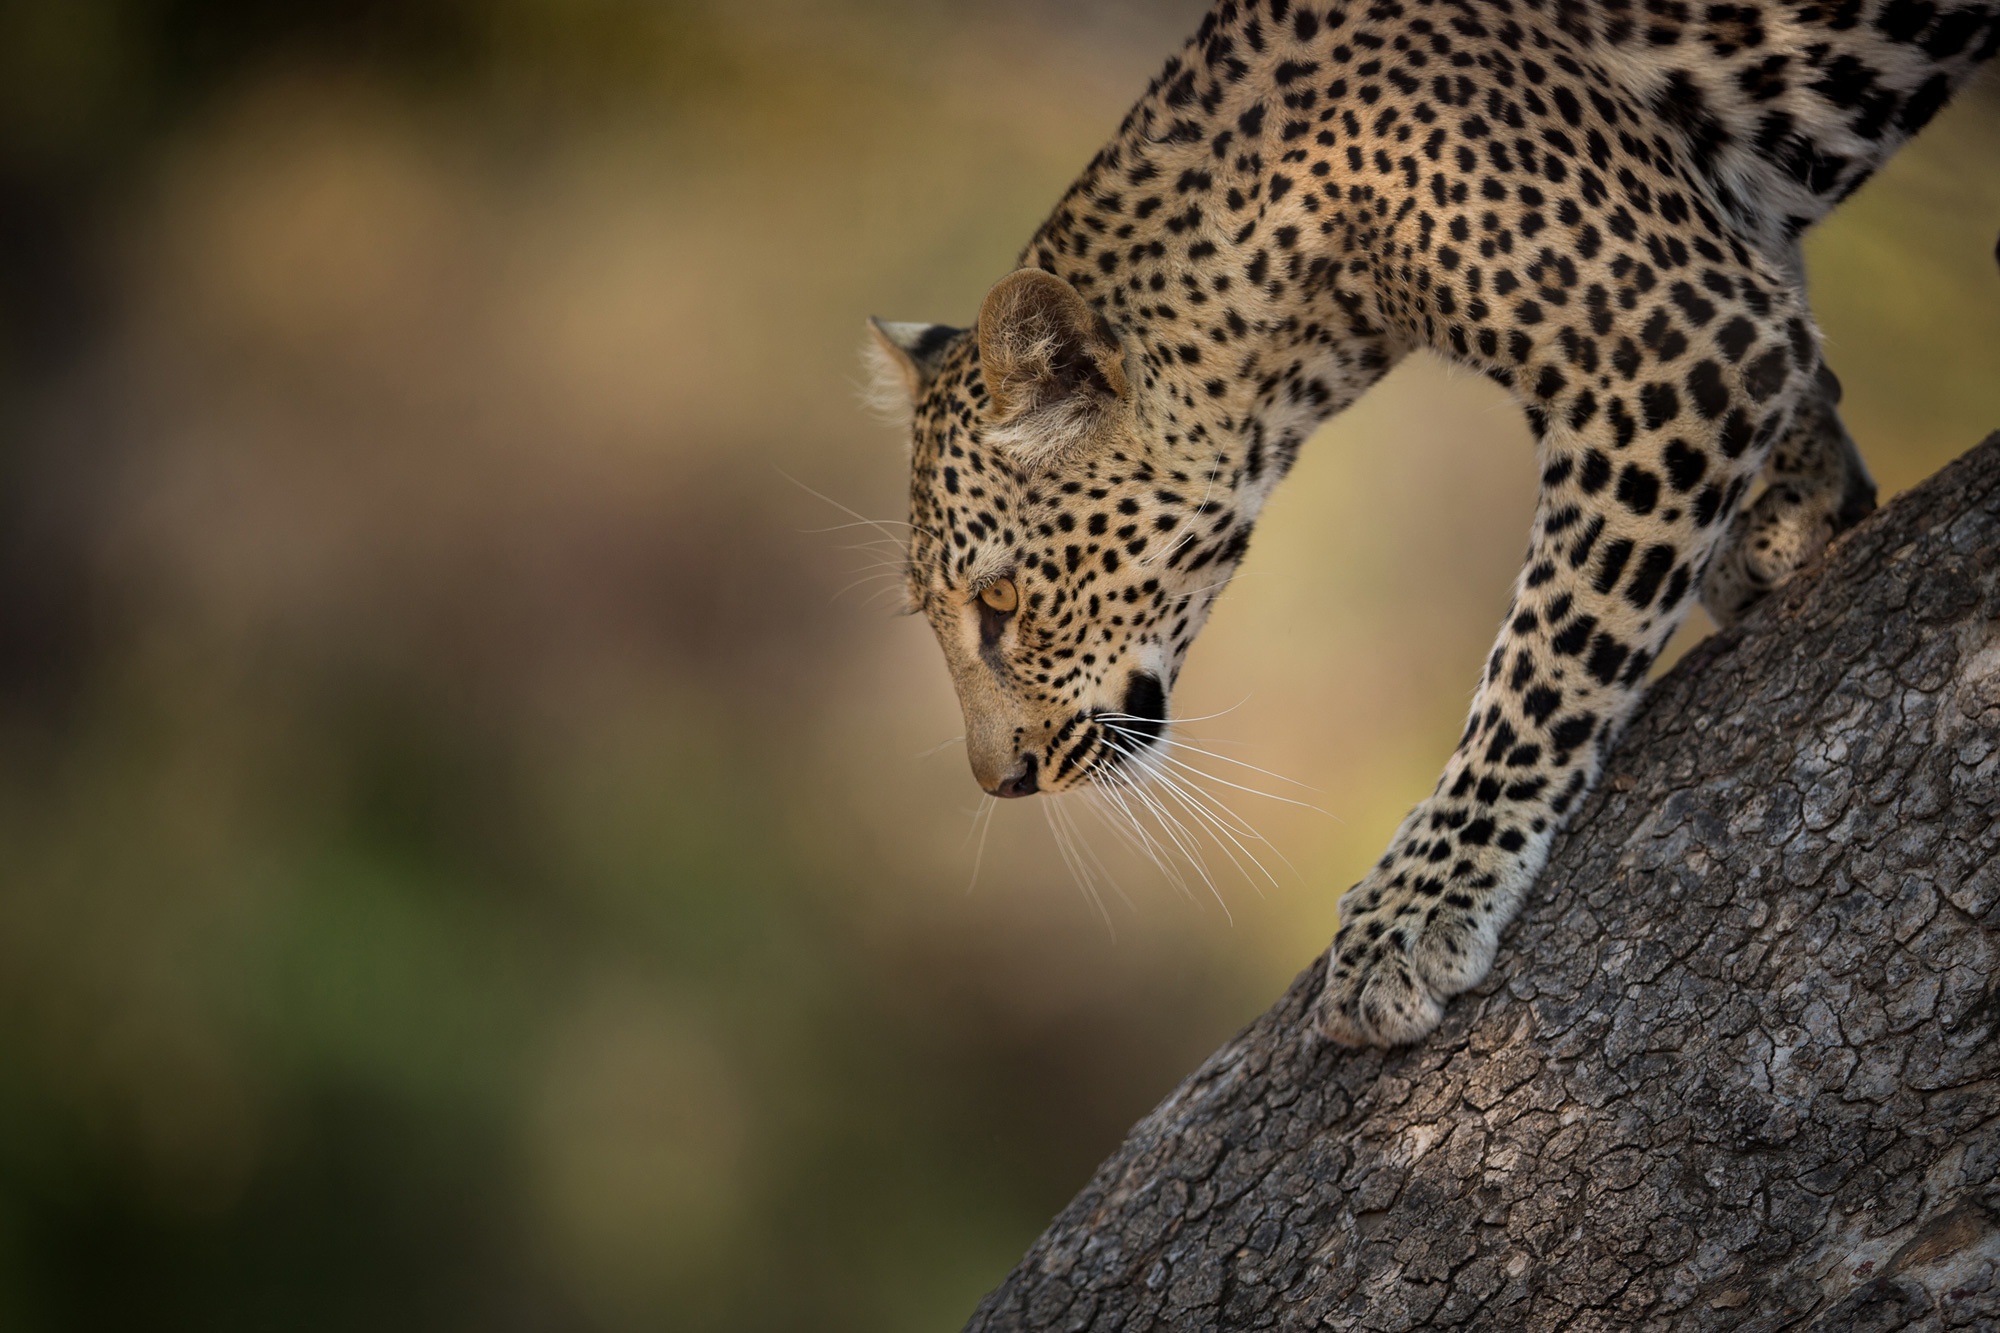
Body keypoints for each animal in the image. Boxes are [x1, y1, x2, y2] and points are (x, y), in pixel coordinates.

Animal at [864, 0, 2000, 1040]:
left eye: (1002, 599)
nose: (1001, 782)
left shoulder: (1677, 340)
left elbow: (1550, 649)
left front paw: (1417, 904)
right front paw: (1790, 503)